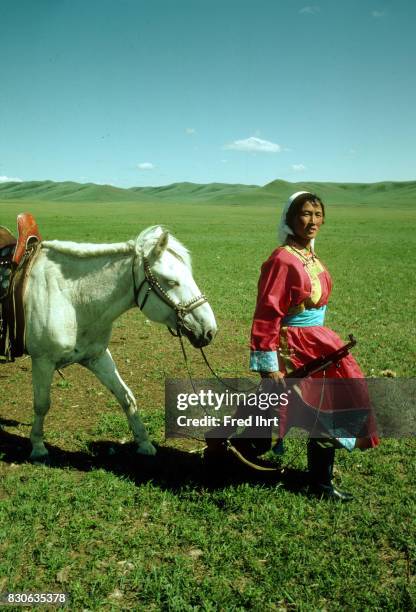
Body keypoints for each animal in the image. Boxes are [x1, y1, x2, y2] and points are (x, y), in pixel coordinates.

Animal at [24, 227, 218, 462]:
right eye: (171, 281)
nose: (209, 330)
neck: (70, 297)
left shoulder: (97, 357)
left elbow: (126, 397)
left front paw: (144, 443)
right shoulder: (42, 361)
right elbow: (42, 404)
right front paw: (38, 446)